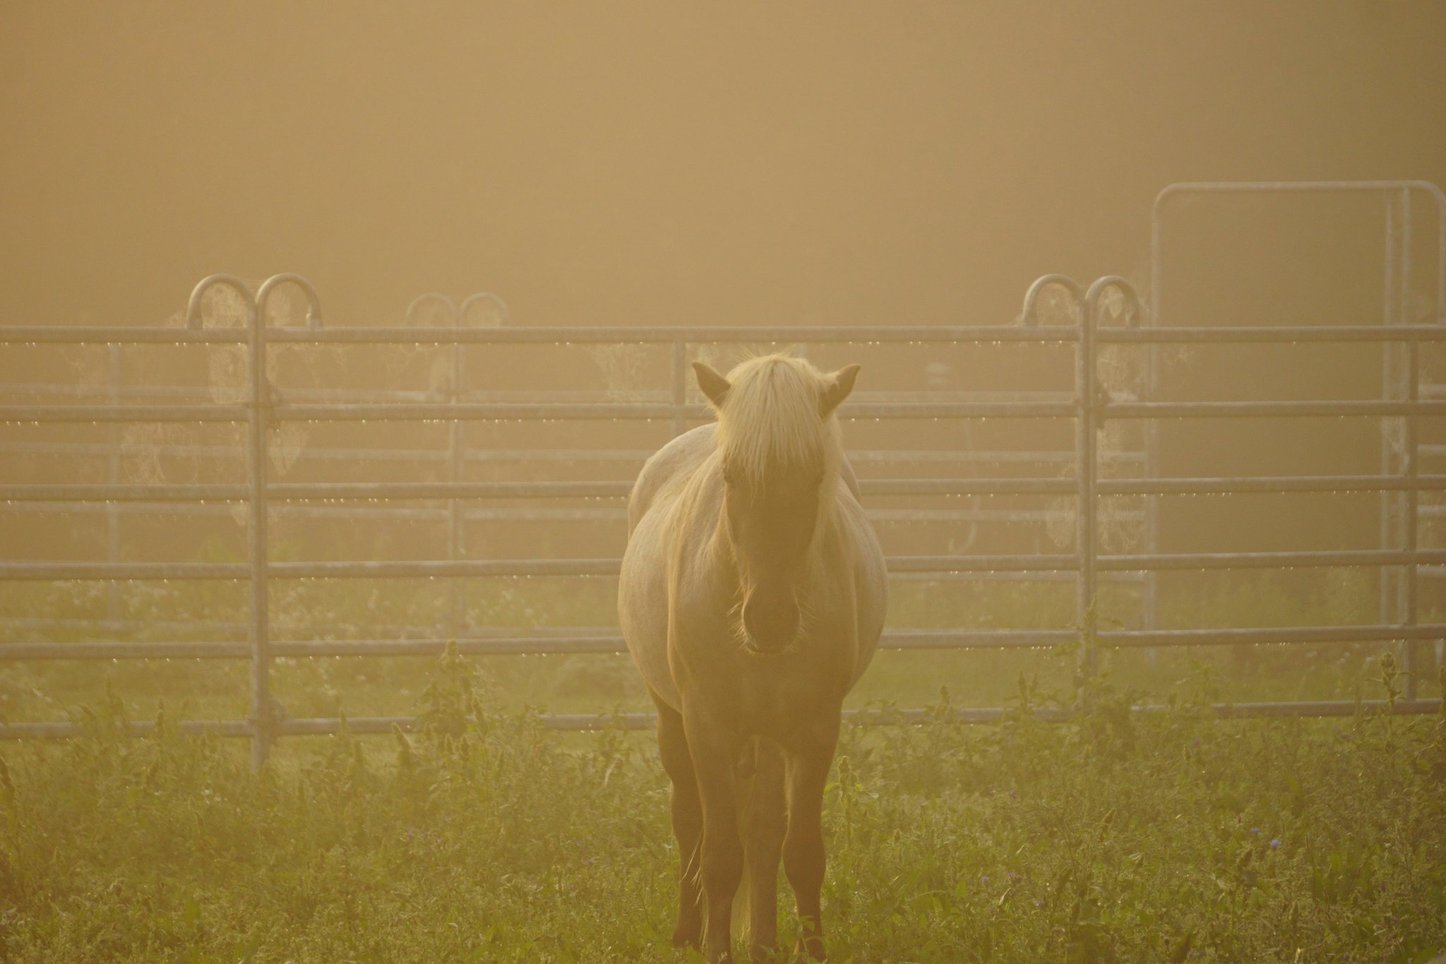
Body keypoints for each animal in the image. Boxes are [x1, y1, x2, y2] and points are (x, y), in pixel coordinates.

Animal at [615, 354, 884, 964]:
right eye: (733, 478)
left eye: (813, 477)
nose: (771, 619)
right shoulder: (708, 727)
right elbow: (718, 853)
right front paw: (715, 948)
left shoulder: (814, 730)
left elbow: (800, 851)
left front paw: (810, 949)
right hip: (673, 720)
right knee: (690, 821)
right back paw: (689, 931)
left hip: (767, 737)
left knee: (763, 831)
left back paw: (764, 939)